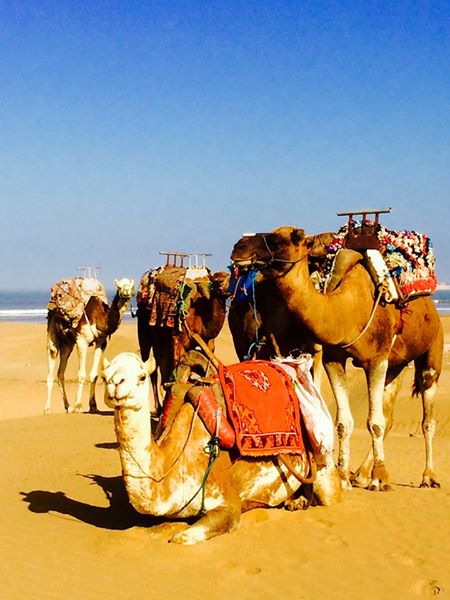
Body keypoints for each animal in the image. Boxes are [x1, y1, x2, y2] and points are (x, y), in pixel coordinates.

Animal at [44, 278, 134, 414]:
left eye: (132, 286)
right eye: (119, 286)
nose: (126, 292)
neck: (101, 319)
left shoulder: (101, 343)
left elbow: (94, 375)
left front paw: (93, 406)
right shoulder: (82, 341)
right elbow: (81, 374)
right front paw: (78, 406)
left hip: (68, 344)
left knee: (60, 373)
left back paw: (68, 407)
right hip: (52, 332)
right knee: (51, 366)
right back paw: (48, 409)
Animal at [103, 352, 342, 544]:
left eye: (142, 376)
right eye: (105, 375)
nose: (115, 383)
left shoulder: (227, 502)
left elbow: (184, 536)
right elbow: (146, 529)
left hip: (324, 466)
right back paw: (295, 502)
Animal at [232, 227, 442, 490]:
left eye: (279, 239)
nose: (238, 247)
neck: (348, 309)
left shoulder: (377, 359)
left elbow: (375, 423)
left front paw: (379, 478)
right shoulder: (333, 359)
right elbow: (344, 422)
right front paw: (343, 476)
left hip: (432, 352)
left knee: (427, 418)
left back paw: (428, 476)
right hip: (397, 365)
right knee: (390, 413)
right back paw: (360, 474)